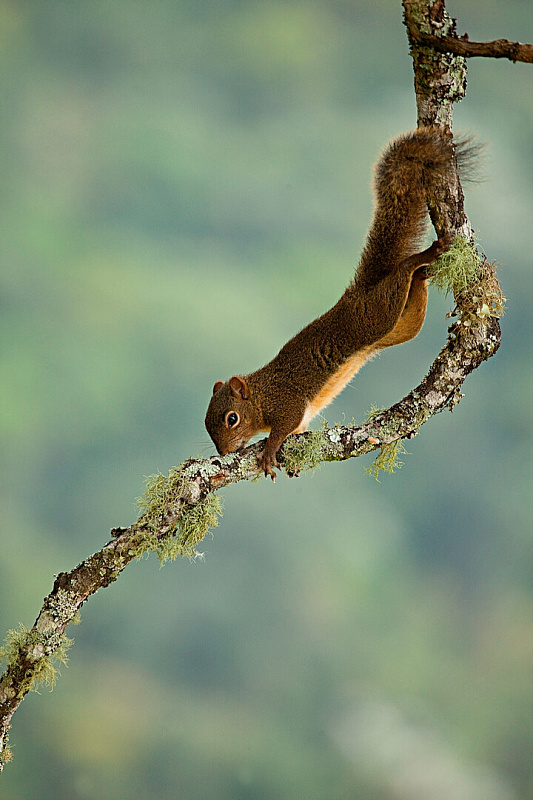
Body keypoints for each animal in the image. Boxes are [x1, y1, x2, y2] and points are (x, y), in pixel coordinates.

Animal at [205, 127, 463, 479]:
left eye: (231, 418)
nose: (223, 452)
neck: (260, 395)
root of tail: (356, 293)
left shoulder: (286, 402)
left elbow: (283, 427)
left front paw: (269, 451)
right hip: (398, 326)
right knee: (411, 303)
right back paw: (423, 272)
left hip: (375, 315)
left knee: (399, 274)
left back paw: (422, 258)